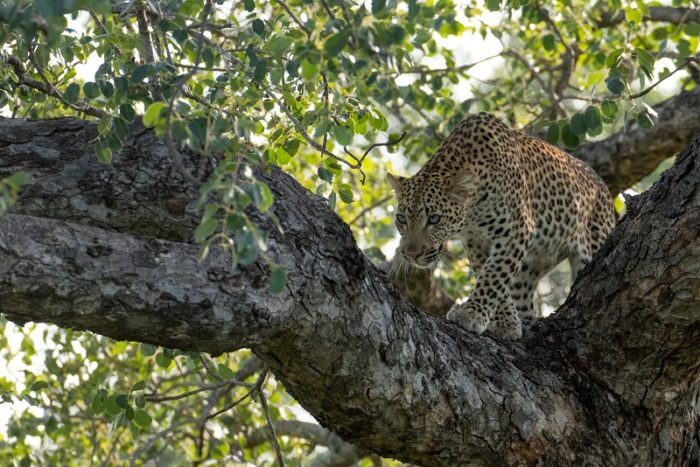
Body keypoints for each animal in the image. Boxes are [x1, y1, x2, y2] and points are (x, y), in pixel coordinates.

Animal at [387, 112, 616, 340]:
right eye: (401, 219)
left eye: (434, 219)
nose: (410, 255)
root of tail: (602, 186)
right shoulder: (476, 242)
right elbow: (492, 276)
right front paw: (505, 322)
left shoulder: (516, 230)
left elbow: (494, 274)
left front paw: (472, 313)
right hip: (532, 265)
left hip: (592, 244)